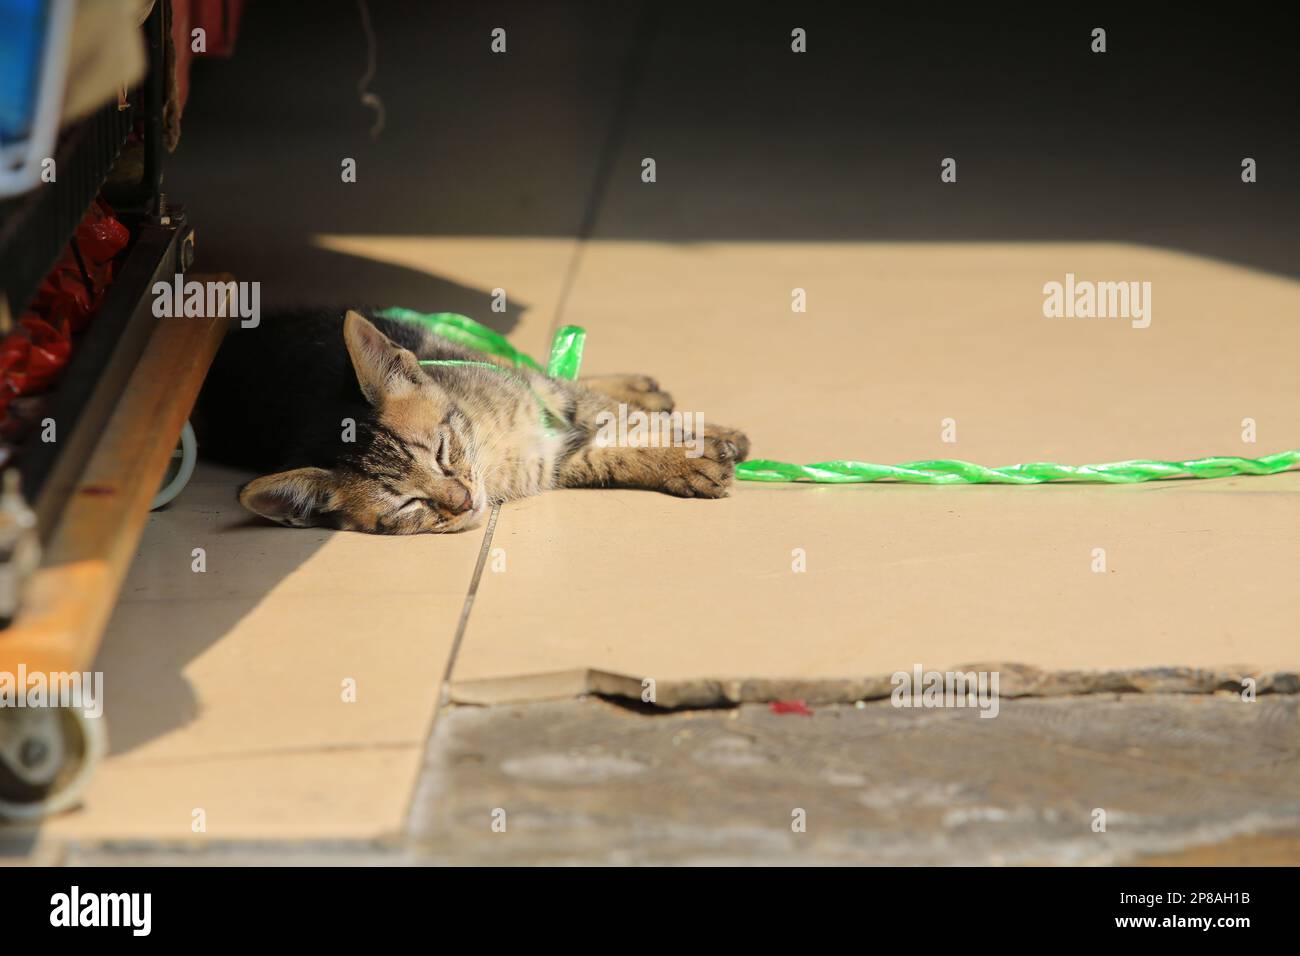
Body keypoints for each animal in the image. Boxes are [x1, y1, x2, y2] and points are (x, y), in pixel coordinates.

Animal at [197, 308, 759, 535]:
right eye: (408, 505)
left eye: (443, 452)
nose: (465, 501)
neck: (494, 446)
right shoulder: (558, 460)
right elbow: (610, 452)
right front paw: (690, 459)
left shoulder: (547, 400)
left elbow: (608, 412)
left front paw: (709, 435)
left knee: (537, 364)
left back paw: (641, 387)